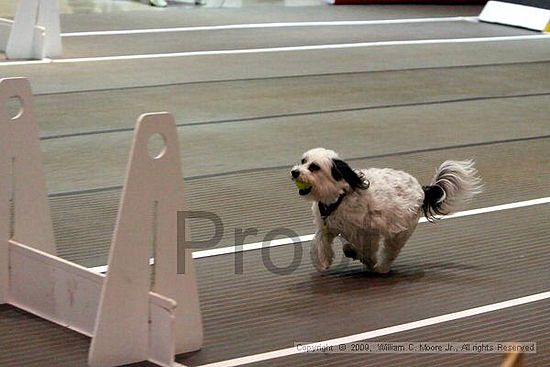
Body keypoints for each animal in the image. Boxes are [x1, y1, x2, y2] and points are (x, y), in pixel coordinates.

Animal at [292, 149, 486, 274]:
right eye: (303, 161)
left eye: (314, 167)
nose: (294, 172)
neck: (339, 197)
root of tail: (422, 191)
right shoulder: (327, 226)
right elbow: (319, 243)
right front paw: (323, 260)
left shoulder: (367, 231)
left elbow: (366, 248)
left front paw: (364, 258)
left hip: (399, 233)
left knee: (390, 252)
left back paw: (381, 268)